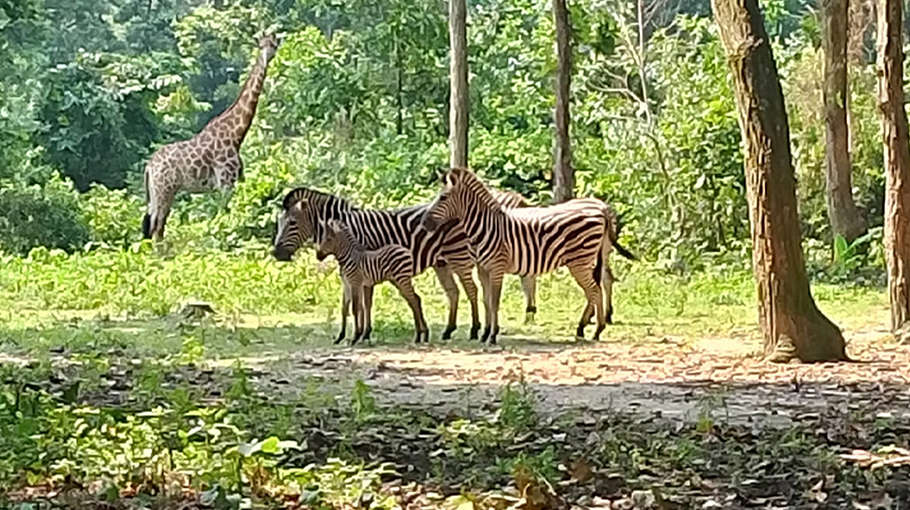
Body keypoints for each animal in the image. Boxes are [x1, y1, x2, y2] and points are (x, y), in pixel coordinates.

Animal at [142, 33, 282, 241]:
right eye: (261, 46)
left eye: (273, 45)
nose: (265, 59)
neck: (236, 134)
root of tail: (149, 167)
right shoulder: (225, 181)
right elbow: (225, 215)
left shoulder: (235, 180)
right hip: (164, 191)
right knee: (157, 228)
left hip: (156, 193)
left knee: (154, 226)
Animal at [270, 185, 540, 340]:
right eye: (279, 222)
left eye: (292, 223)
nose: (276, 253)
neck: (350, 228)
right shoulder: (365, 272)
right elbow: (363, 304)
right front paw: (364, 333)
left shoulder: (363, 267)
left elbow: (362, 304)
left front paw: (361, 334)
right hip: (442, 263)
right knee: (454, 293)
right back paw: (448, 330)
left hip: (458, 257)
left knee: (472, 290)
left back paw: (475, 329)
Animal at [420, 167, 636, 342]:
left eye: (443, 198)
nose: (424, 224)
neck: (486, 226)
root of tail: (602, 209)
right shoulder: (483, 270)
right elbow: (487, 301)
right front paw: (485, 333)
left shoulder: (497, 267)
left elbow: (495, 301)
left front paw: (492, 335)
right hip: (594, 257)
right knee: (601, 284)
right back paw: (591, 327)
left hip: (580, 261)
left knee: (595, 290)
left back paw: (593, 329)